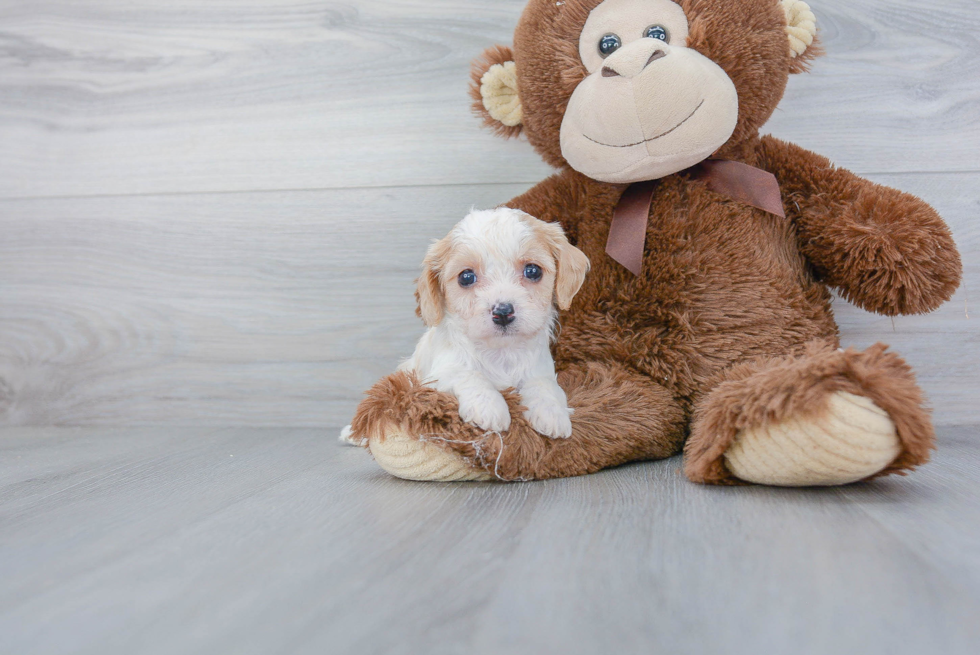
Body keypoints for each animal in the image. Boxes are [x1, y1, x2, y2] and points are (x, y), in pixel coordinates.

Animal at [340, 208, 588, 444]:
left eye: (533, 271)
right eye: (466, 277)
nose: (502, 312)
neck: (501, 352)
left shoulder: (541, 370)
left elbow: (544, 384)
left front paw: (552, 413)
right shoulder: (435, 378)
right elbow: (468, 374)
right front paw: (490, 407)